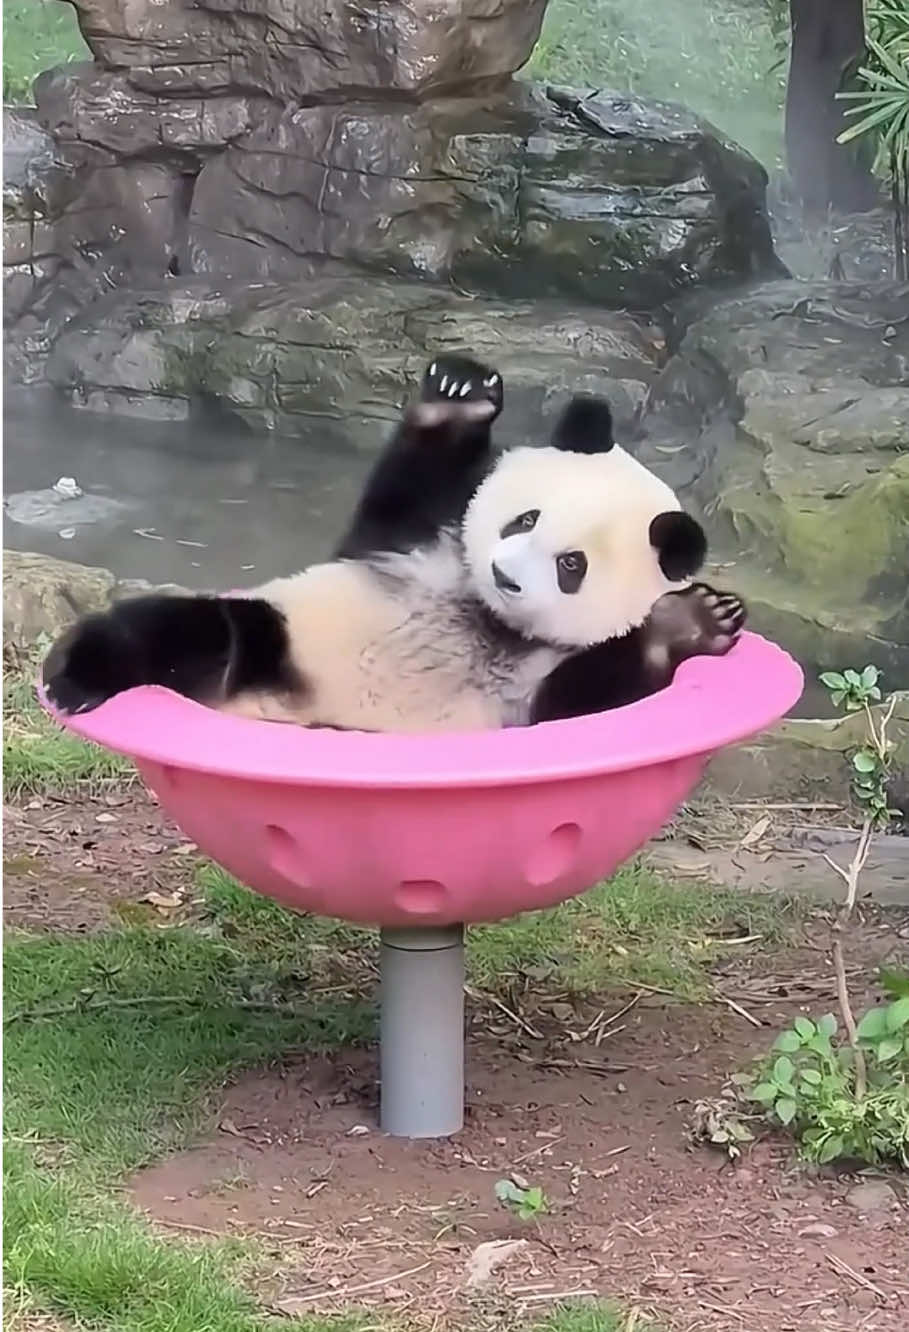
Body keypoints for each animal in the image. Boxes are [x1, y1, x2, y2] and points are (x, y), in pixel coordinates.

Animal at [42, 354, 746, 733]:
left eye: (571, 565)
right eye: (524, 520)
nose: (506, 576)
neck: (491, 619)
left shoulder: (526, 694)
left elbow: (580, 700)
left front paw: (692, 620)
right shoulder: (418, 553)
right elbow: (399, 501)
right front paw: (459, 395)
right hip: (283, 639)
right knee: (191, 629)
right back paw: (77, 676)